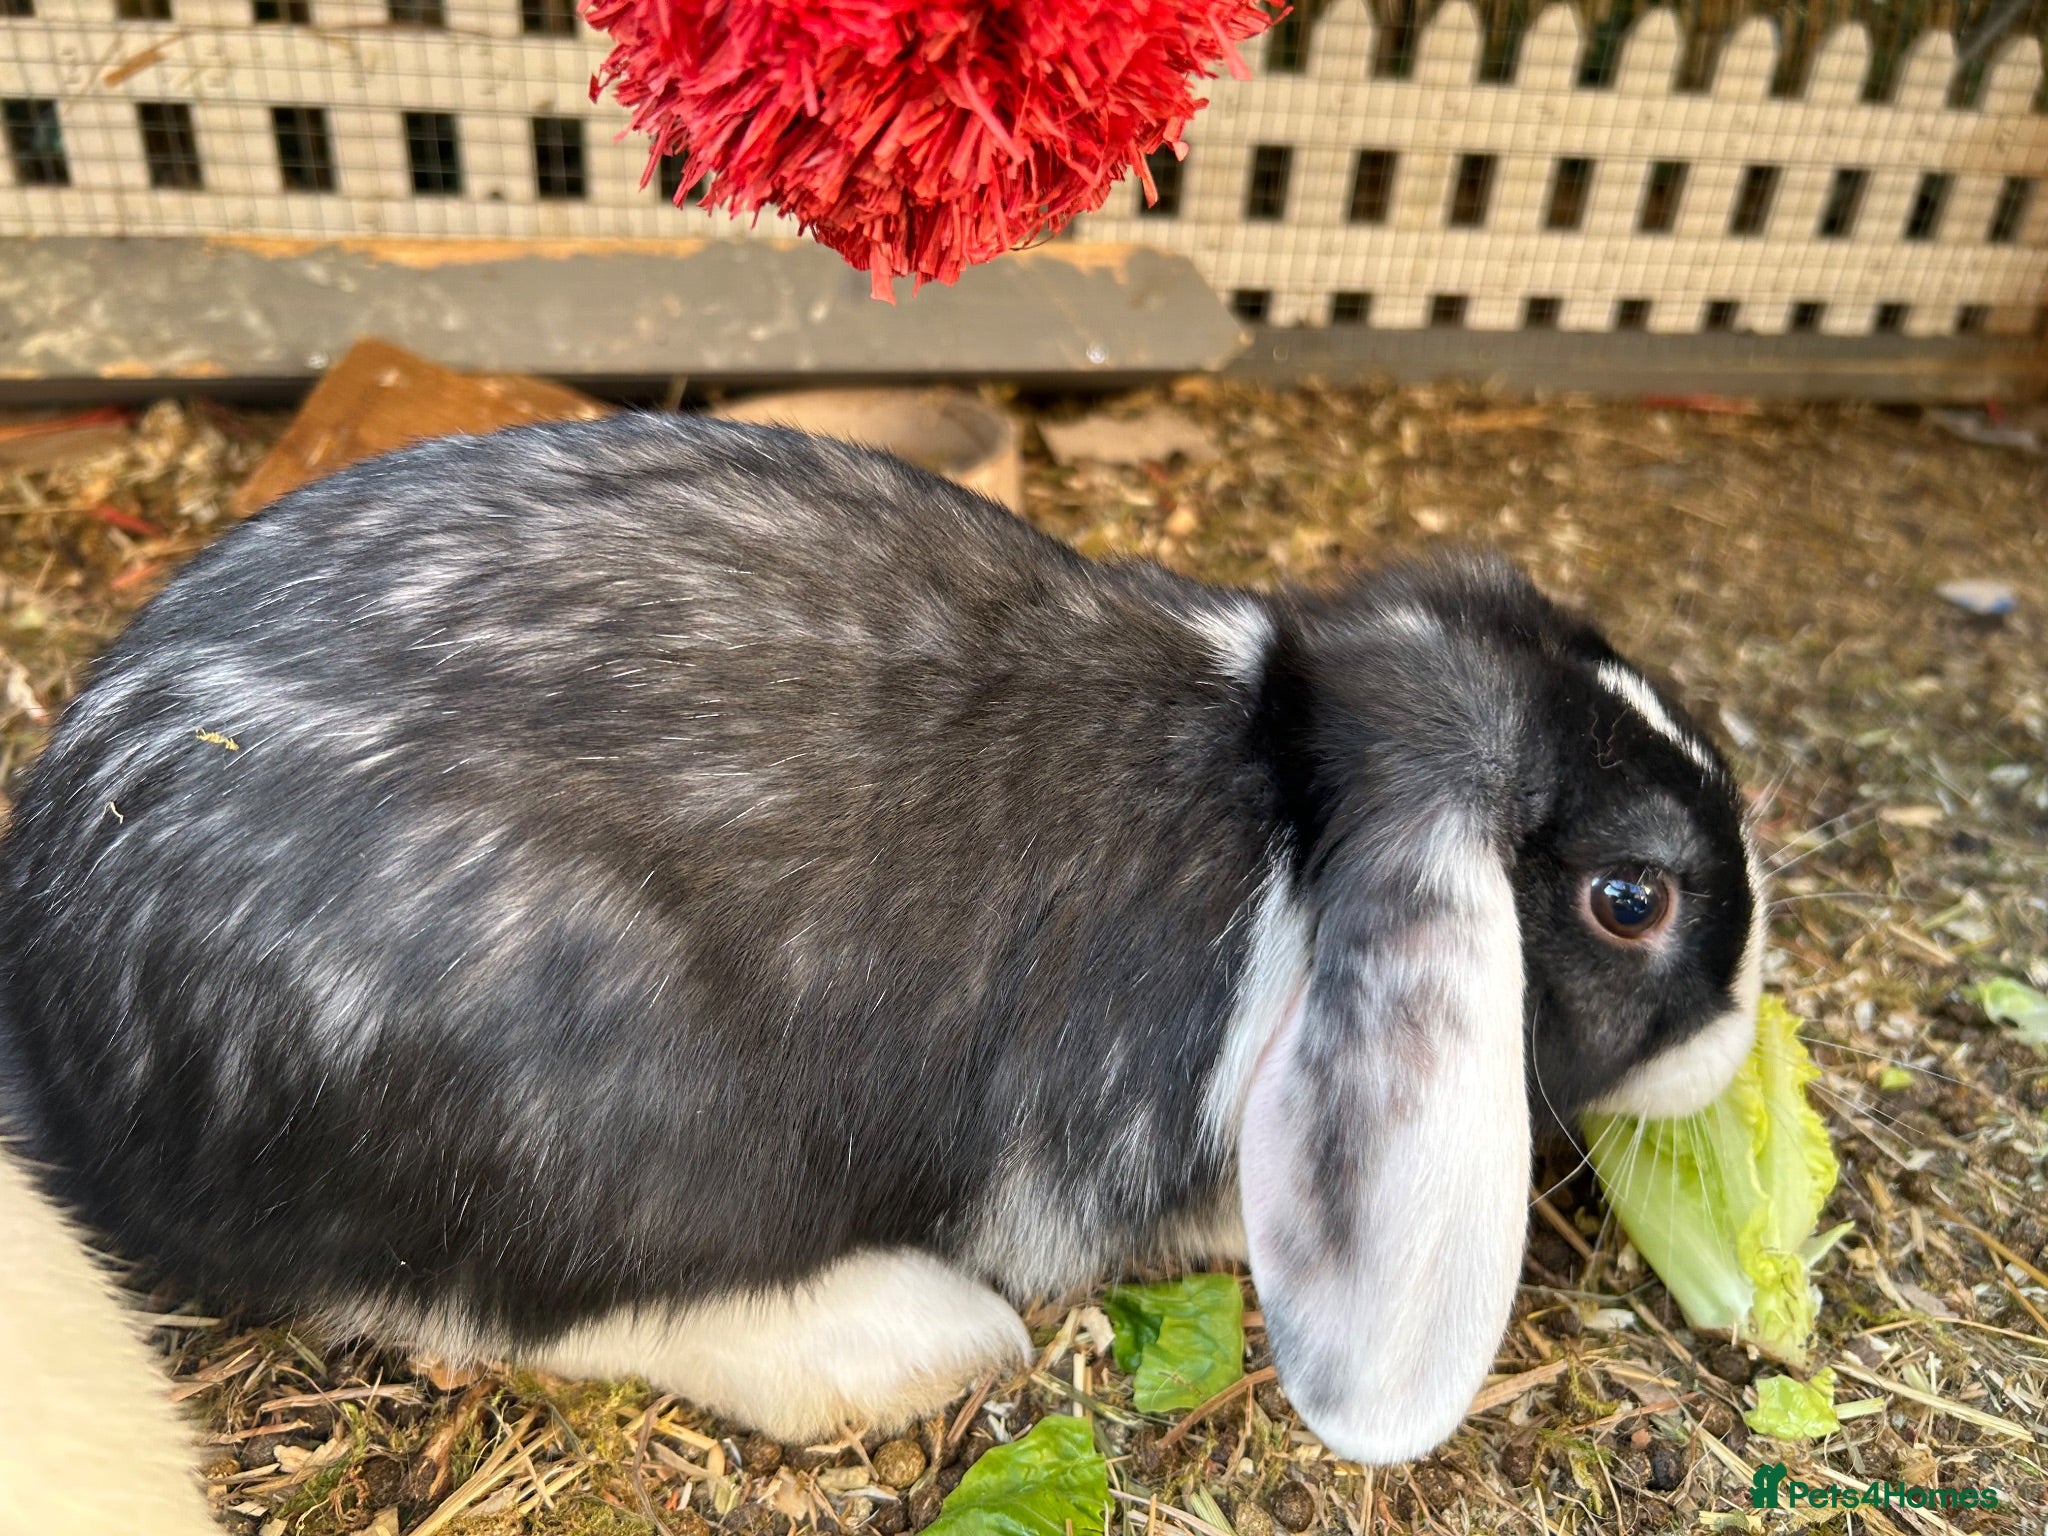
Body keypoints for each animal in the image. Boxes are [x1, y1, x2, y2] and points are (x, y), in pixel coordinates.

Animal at [0, 413, 1764, 1465]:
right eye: (1632, 900)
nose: (1747, 1021)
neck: (1292, 801)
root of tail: (71, 1067)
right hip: (599, 1116)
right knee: (509, 1301)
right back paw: (910, 1342)